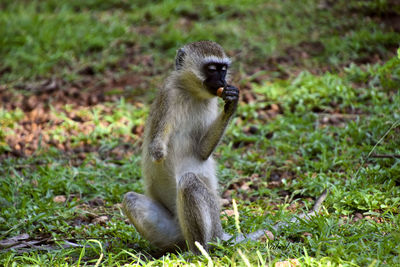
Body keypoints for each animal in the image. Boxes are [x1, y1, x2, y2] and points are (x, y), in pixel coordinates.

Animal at [122, 40, 328, 254]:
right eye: (212, 69)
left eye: (223, 69)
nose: (222, 81)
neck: (191, 93)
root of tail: (219, 233)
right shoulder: (167, 95)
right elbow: (158, 141)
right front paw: (158, 150)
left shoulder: (210, 103)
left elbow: (202, 152)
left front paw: (232, 103)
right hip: (176, 227)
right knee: (130, 199)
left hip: (211, 223)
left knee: (188, 182)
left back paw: (199, 251)